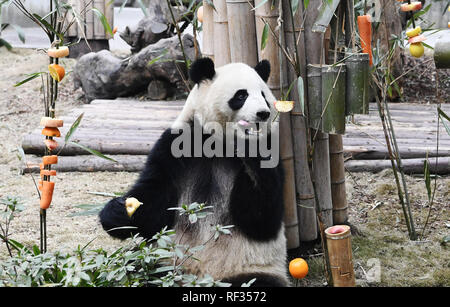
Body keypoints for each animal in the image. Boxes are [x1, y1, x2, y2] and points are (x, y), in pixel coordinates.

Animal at [99, 57, 290, 288]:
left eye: (263, 95)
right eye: (241, 95)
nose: (262, 114)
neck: (219, 143)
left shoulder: (271, 155)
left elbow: (262, 218)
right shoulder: (175, 147)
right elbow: (154, 204)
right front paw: (116, 212)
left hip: (251, 270)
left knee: (261, 281)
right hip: (158, 262)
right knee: (137, 270)